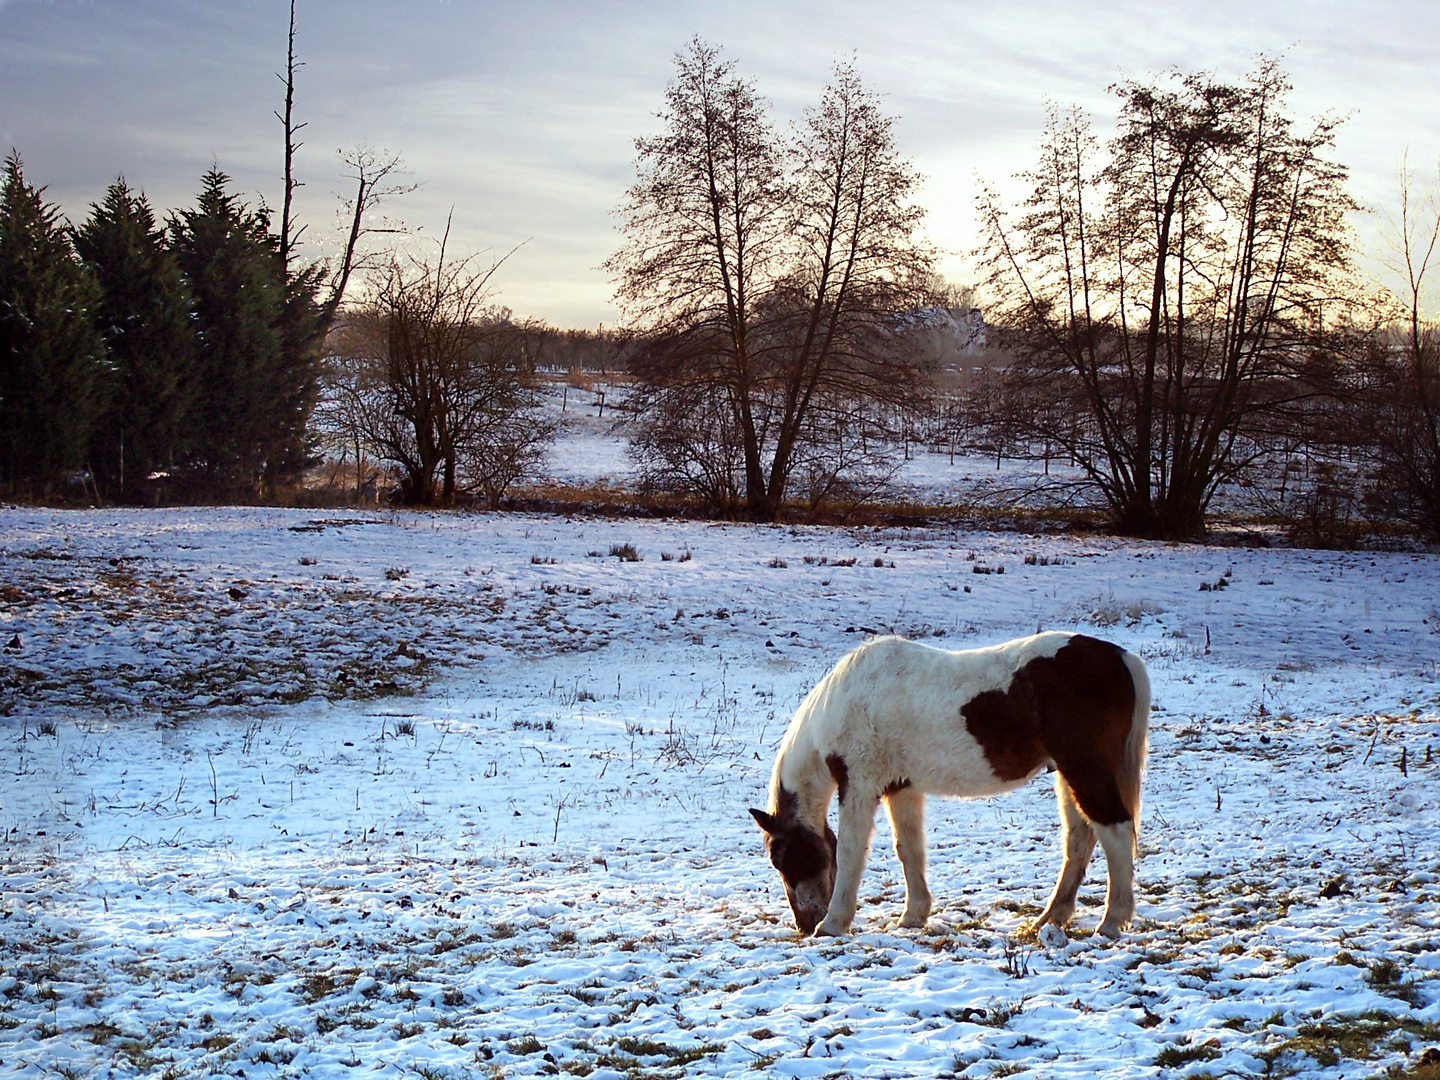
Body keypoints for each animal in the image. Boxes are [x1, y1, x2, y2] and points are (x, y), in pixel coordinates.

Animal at [754, 633, 1146, 938]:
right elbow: (909, 848)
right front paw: (913, 916)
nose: (805, 923)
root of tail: (1121, 657)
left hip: (1085, 770)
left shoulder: (859, 785)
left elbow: (851, 851)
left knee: (1115, 832)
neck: (847, 698)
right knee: (1079, 838)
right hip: (1070, 775)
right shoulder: (901, 787)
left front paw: (834, 923)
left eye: (781, 859)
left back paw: (1111, 922)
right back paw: (1049, 919)